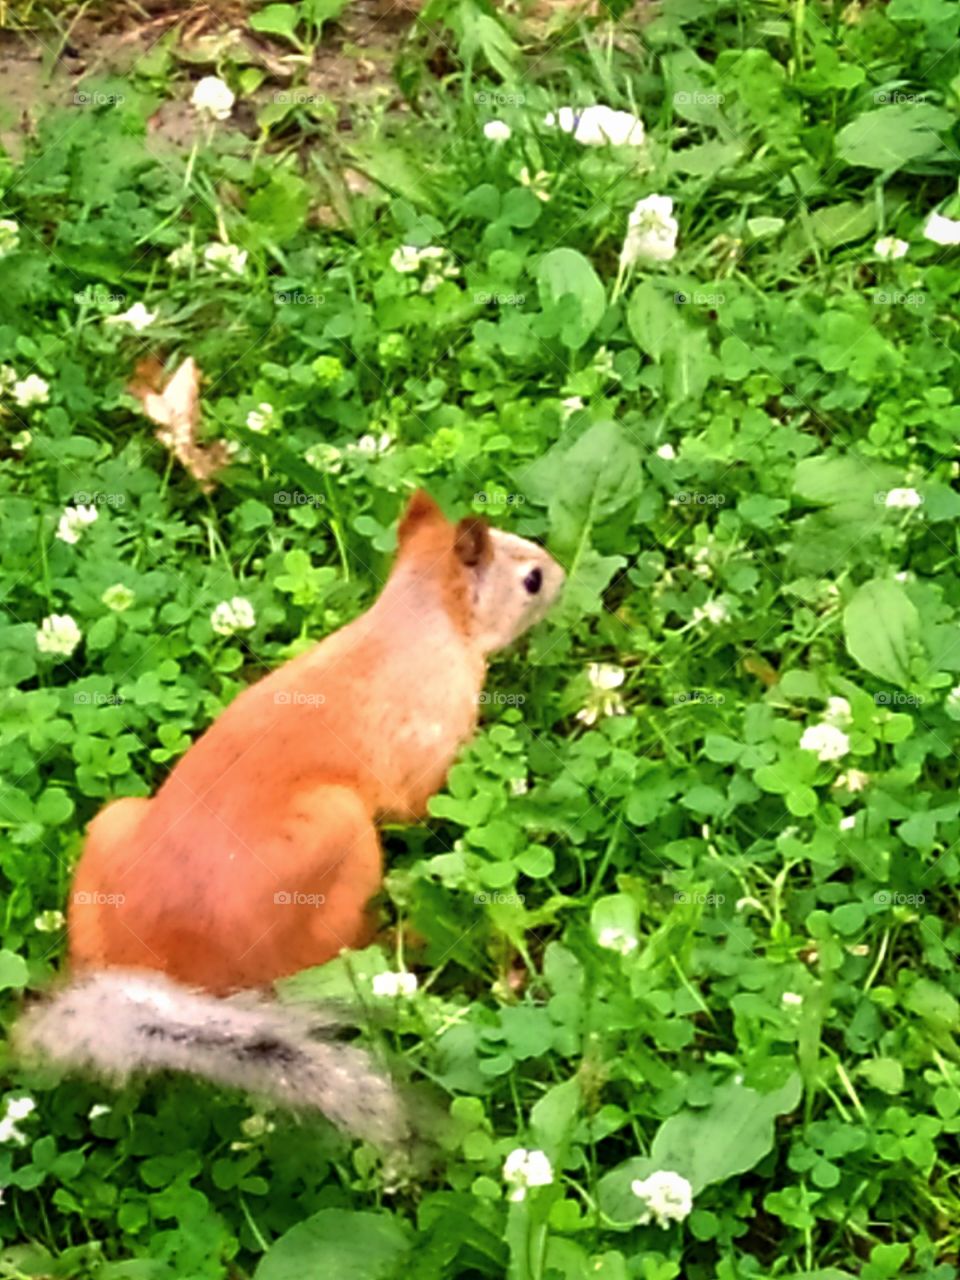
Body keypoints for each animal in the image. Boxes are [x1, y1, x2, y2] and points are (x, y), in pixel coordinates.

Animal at [17, 490, 564, 1149]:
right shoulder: (426, 752)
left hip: (112, 827)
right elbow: (421, 805)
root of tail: (165, 964)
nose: (561, 573)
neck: (415, 619)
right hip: (341, 836)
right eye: (530, 579)